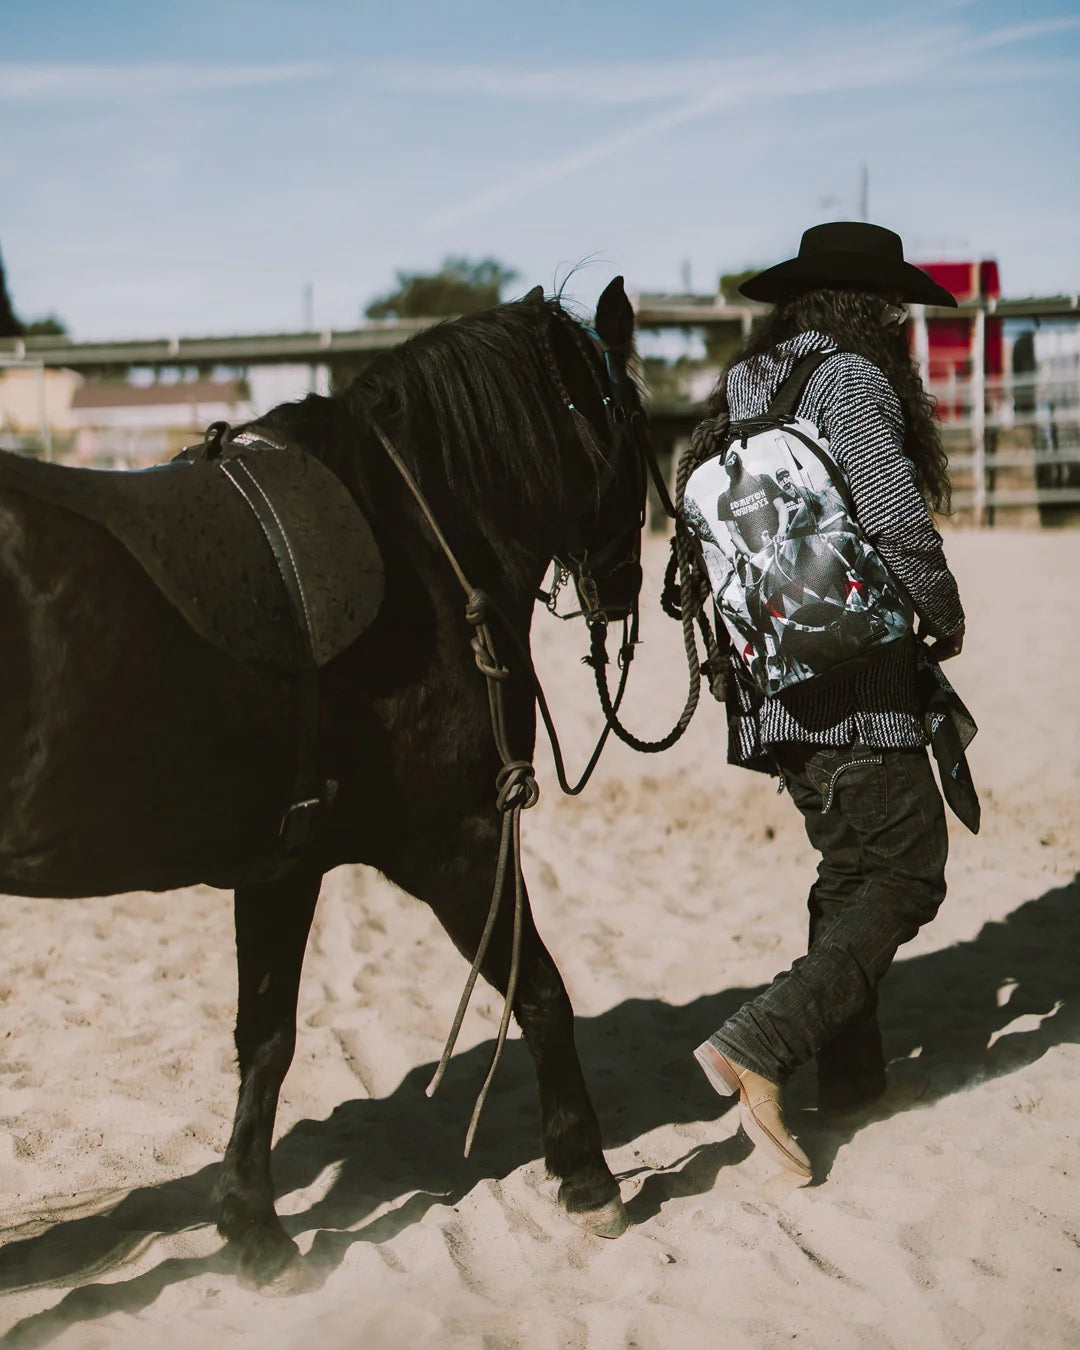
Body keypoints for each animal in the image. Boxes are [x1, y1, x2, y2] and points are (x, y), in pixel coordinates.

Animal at [0, 276, 650, 1285]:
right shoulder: (458, 846)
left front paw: (251, 1226)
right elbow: (540, 993)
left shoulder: (281, 865)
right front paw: (585, 1173)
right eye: (641, 427)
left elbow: (264, 1038)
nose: (631, 588)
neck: (417, 538)